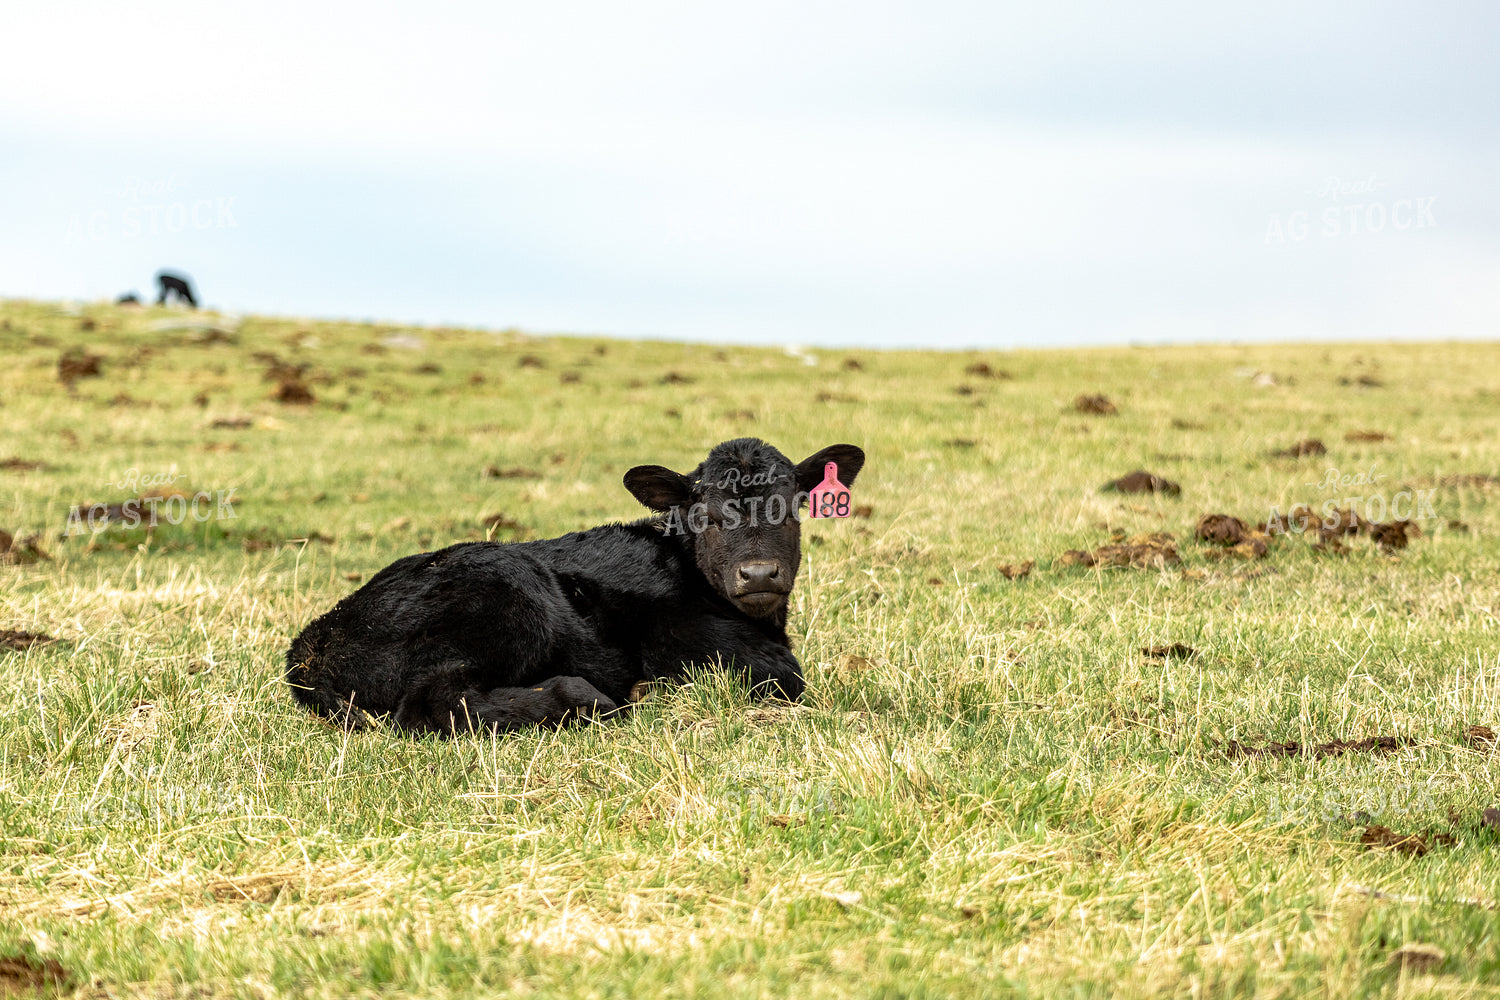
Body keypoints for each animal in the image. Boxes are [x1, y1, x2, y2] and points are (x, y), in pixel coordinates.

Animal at [284, 437, 865, 737]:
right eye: (708, 514)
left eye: (791, 506)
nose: (760, 573)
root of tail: (312, 643)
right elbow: (787, 676)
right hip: (510, 603)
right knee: (433, 705)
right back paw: (591, 699)